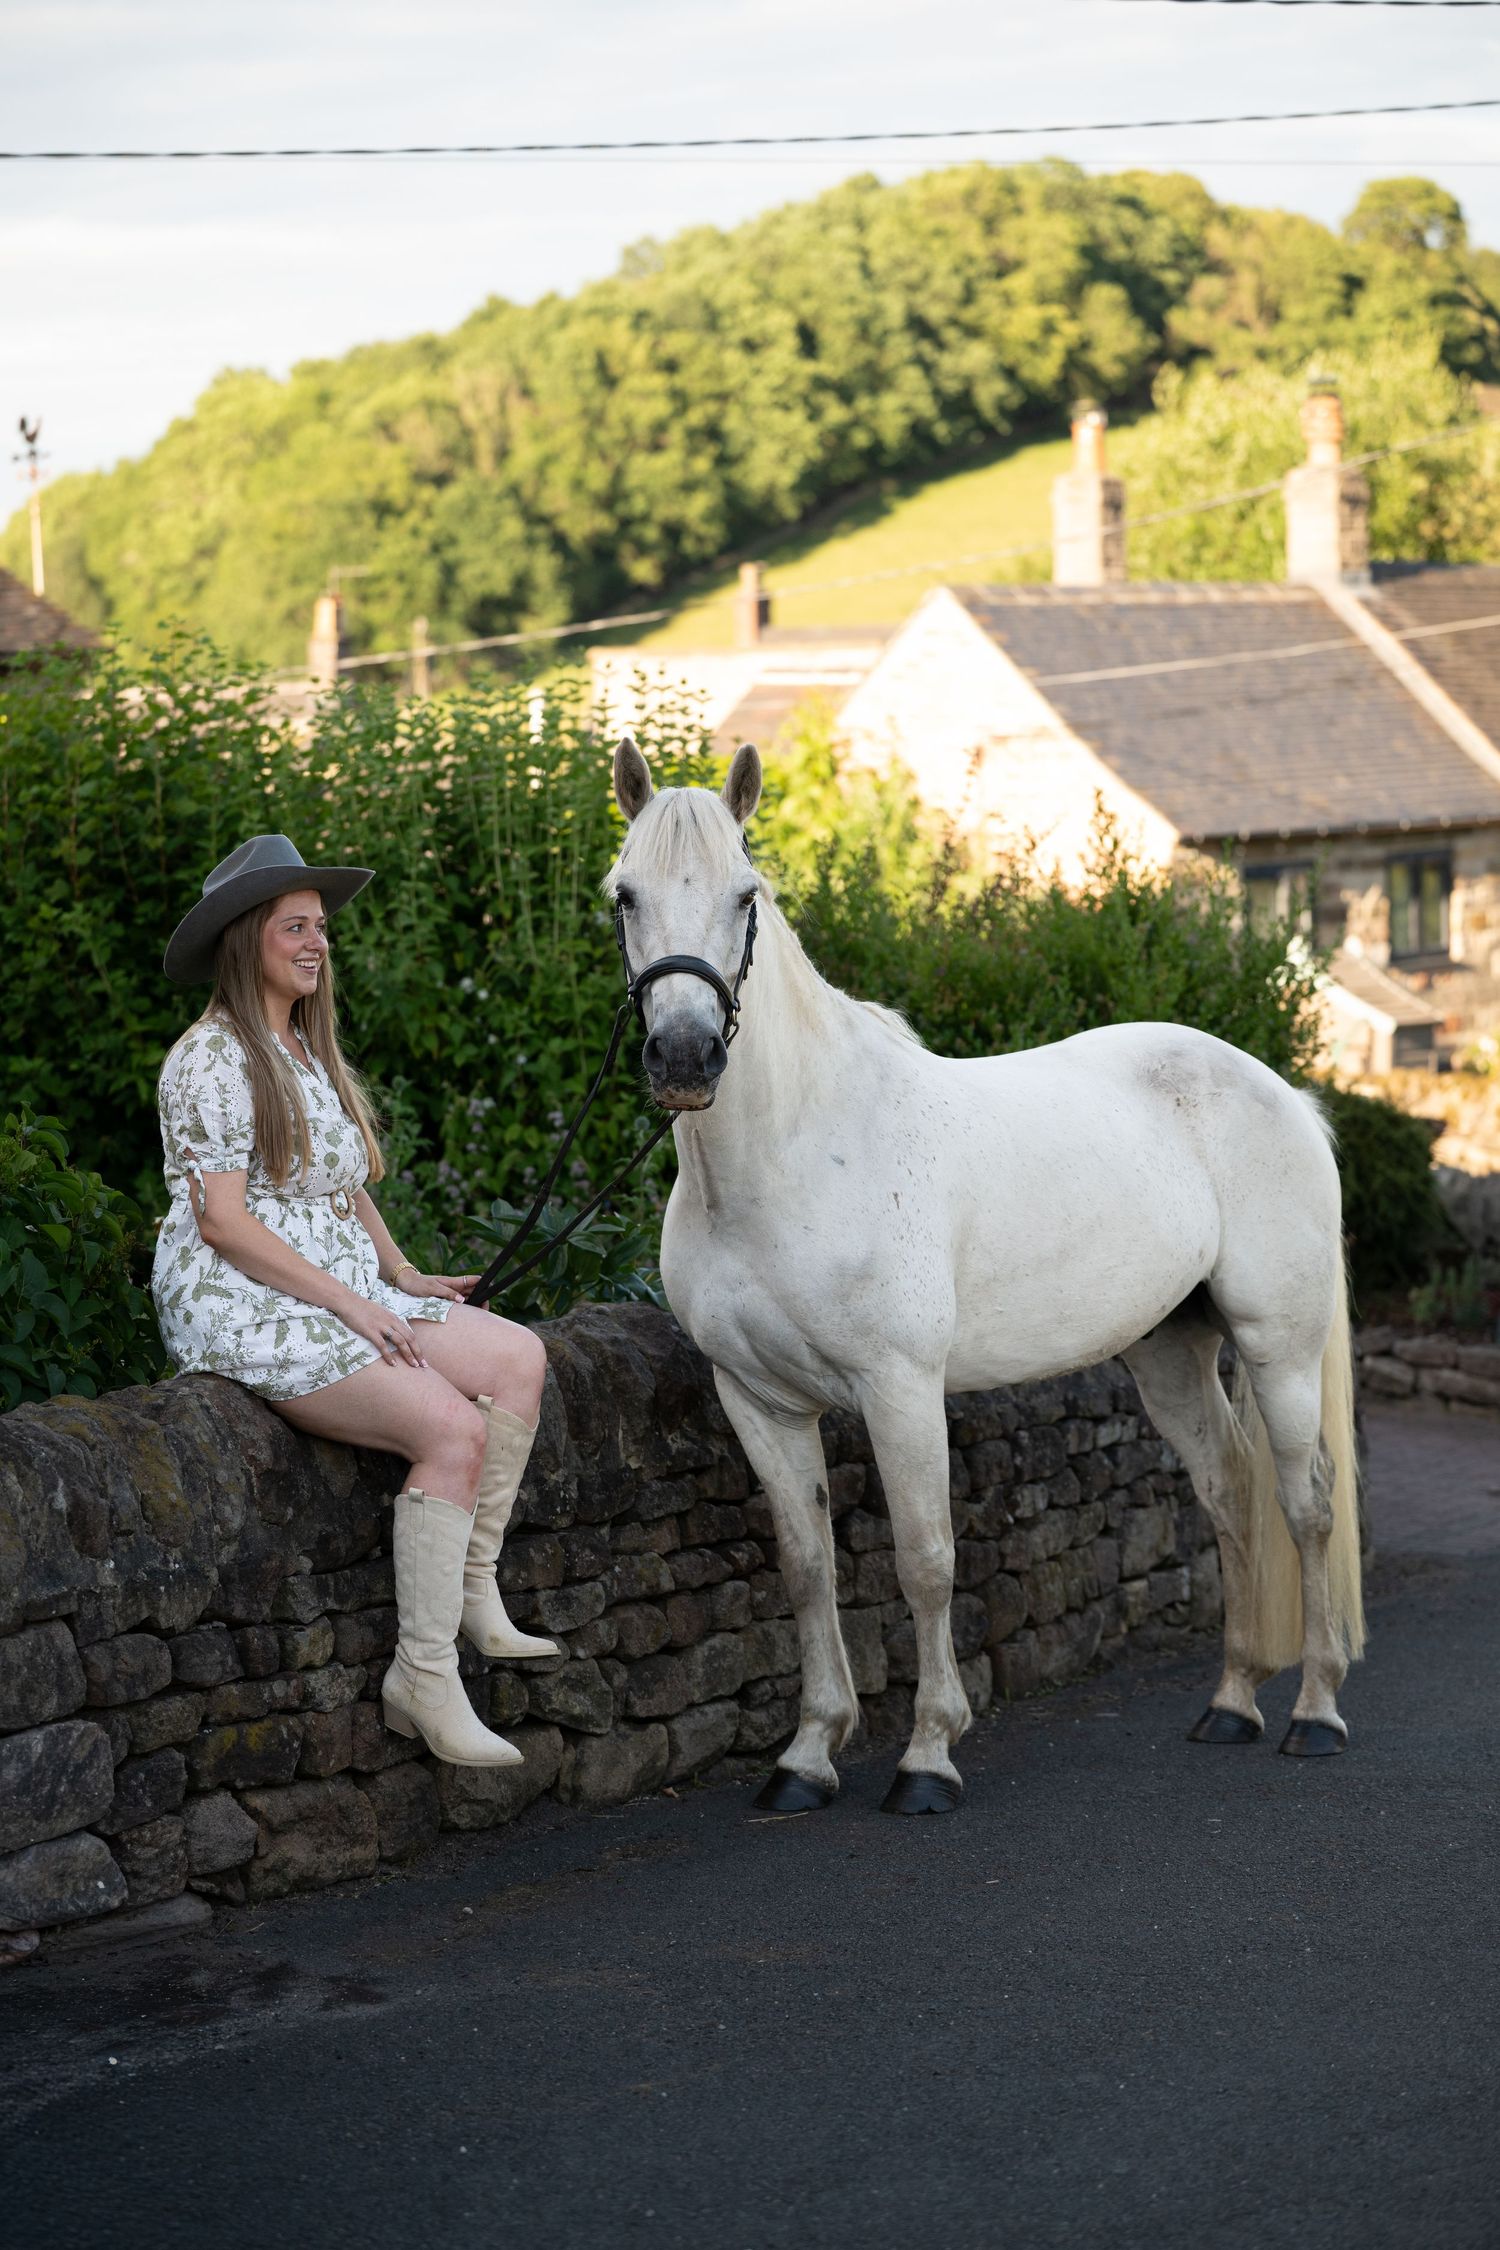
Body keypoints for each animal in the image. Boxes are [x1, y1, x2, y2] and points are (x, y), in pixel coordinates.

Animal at [607, 735, 1364, 1816]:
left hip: (1280, 1349)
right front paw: (807, 1755)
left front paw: (928, 1756)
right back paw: (1229, 1704)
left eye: (746, 895)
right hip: (1169, 1354)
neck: (790, 1153)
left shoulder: (900, 1389)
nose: (684, 1056)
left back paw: (1316, 1712)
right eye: (624, 895)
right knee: (1226, 1490)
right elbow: (807, 1569)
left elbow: (926, 1561)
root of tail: (1284, 1093)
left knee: (1306, 1505)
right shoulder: (758, 1401)